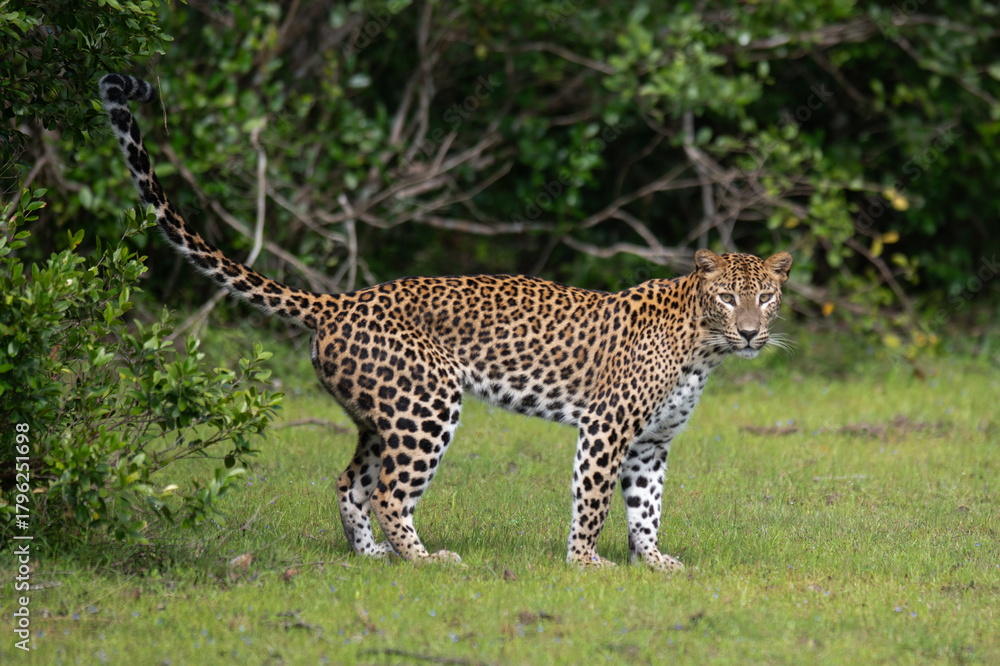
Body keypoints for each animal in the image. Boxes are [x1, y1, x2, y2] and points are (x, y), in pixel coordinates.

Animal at [100, 73, 792, 571]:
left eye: (765, 297)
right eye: (727, 297)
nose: (750, 332)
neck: (704, 349)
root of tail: (339, 301)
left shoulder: (651, 443)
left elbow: (647, 509)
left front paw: (654, 562)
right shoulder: (607, 425)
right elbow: (594, 499)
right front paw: (585, 563)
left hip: (382, 413)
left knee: (351, 483)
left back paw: (375, 556)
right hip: (427, 404)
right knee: (387, 491)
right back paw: (427, 559)